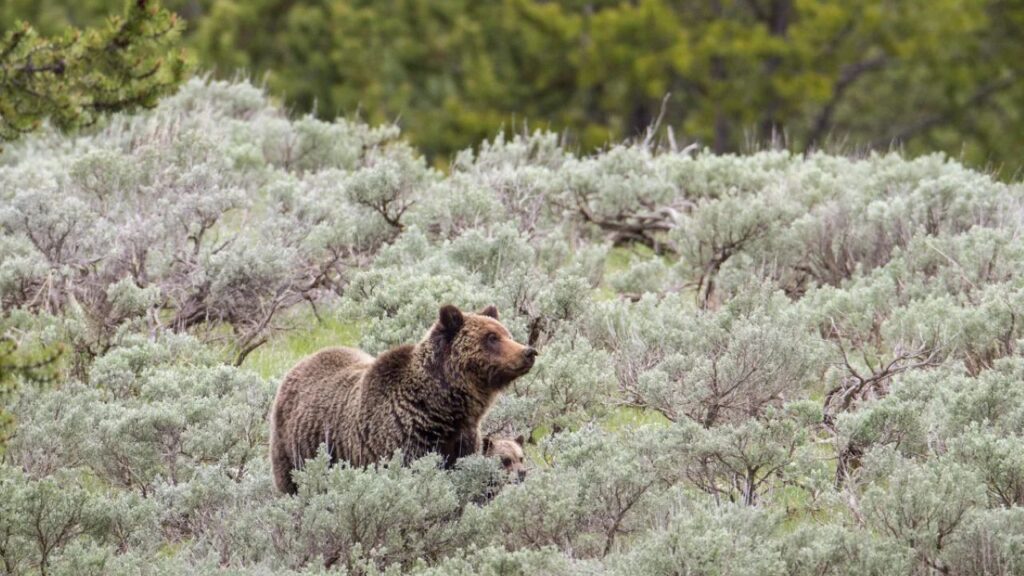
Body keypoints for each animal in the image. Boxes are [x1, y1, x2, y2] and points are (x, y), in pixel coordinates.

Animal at [270, 304, 537, 494]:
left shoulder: (462, 441)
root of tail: (300, 364)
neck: (440, 410)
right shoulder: (397, 442)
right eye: (491, 337)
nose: (529, 352)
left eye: (506, 333)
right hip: (295, 450)